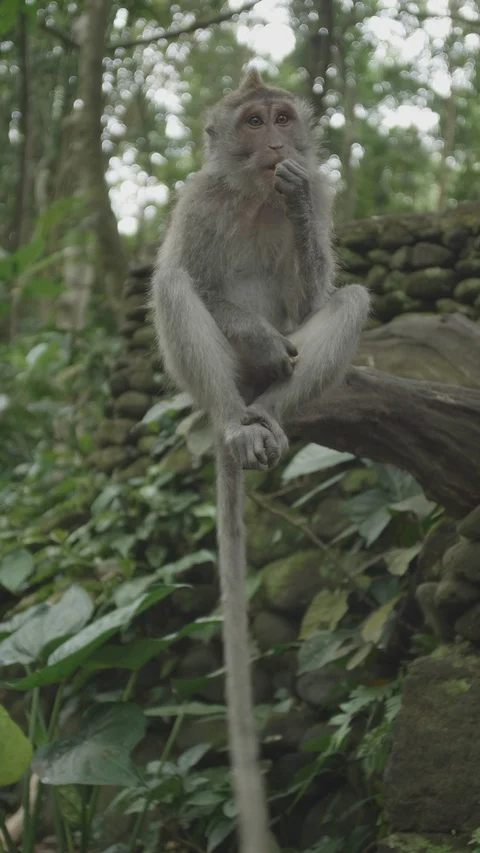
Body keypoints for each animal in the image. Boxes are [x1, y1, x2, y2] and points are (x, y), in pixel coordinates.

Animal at [151, 68, 370, 853]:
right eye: (252, 122)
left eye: (282, 117)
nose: (278, 144)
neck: (251, 194)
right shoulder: (198, 200)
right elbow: (200, 284)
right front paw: (256, 333)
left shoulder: (322, 193)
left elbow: (313, 299)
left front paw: (297, 201)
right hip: (202, 378)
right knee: (175, 286)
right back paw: (233, 424)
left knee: (350, 299)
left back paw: (271, 414)